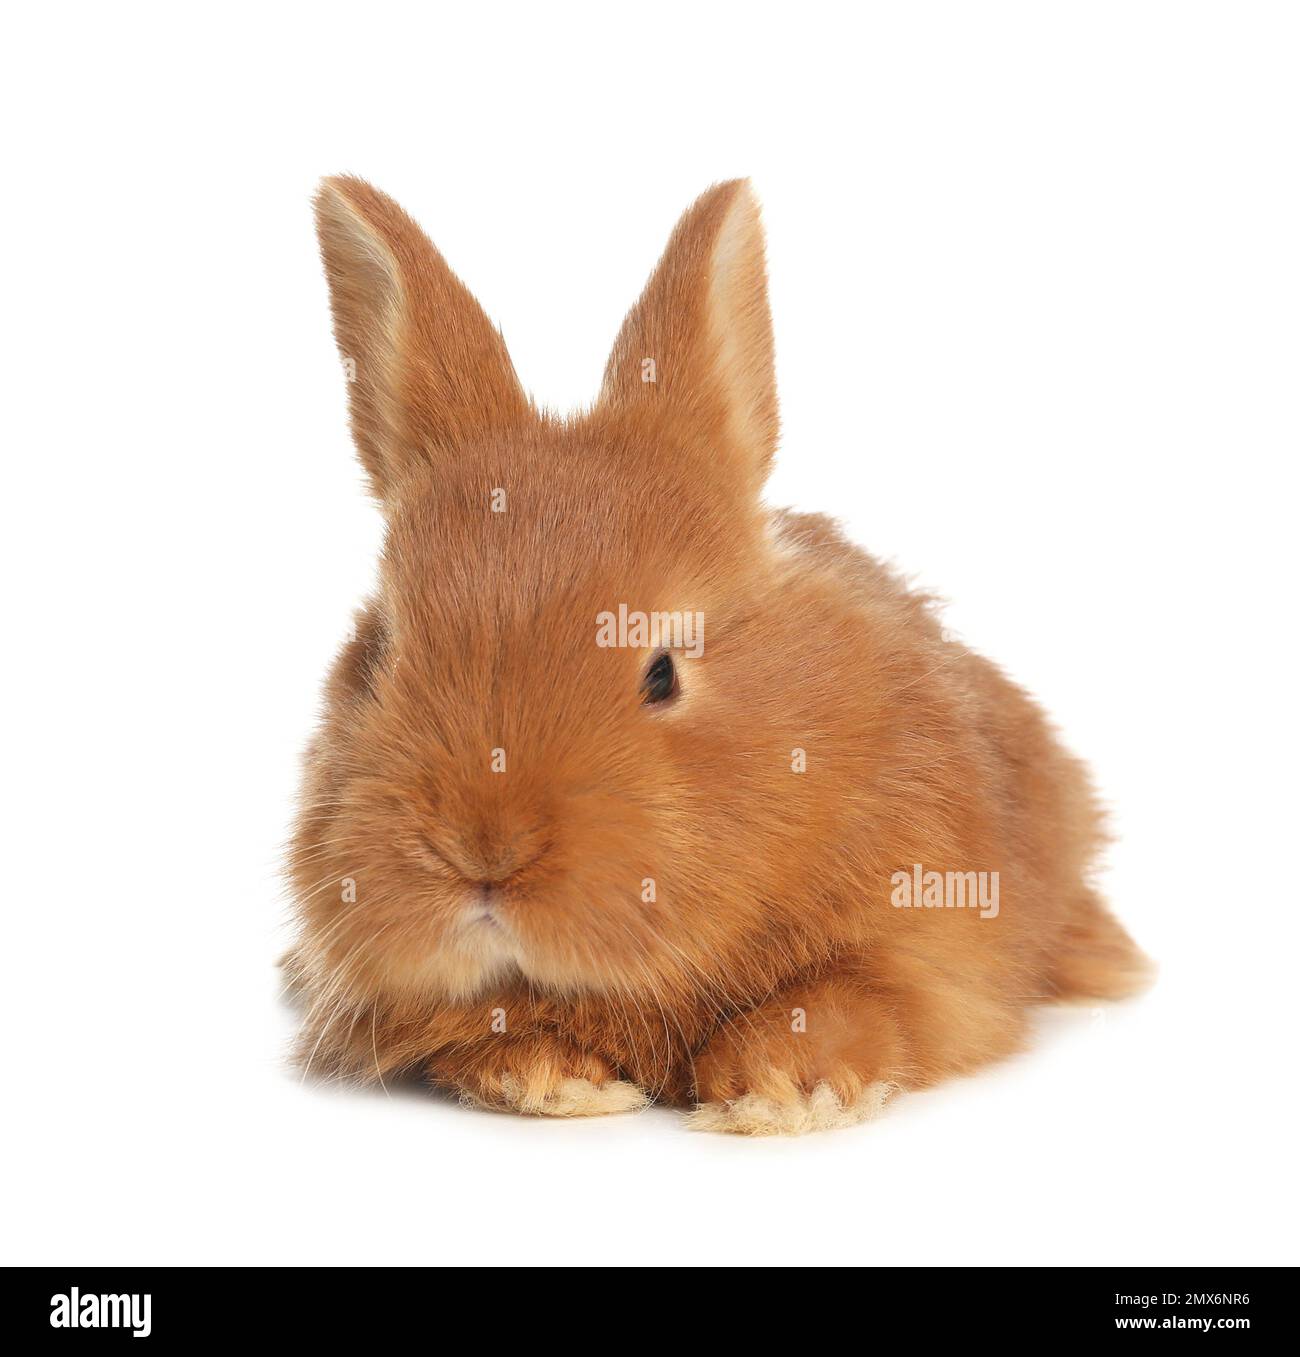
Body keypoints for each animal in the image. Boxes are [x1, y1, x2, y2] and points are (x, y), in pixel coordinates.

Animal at [286, 174, 1150, 1135]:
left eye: (662, 671)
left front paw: (781, 1090)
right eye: (383, 653)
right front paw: (553, 1081)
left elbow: (854, 999)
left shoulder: (928, 939)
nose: (484, 851)